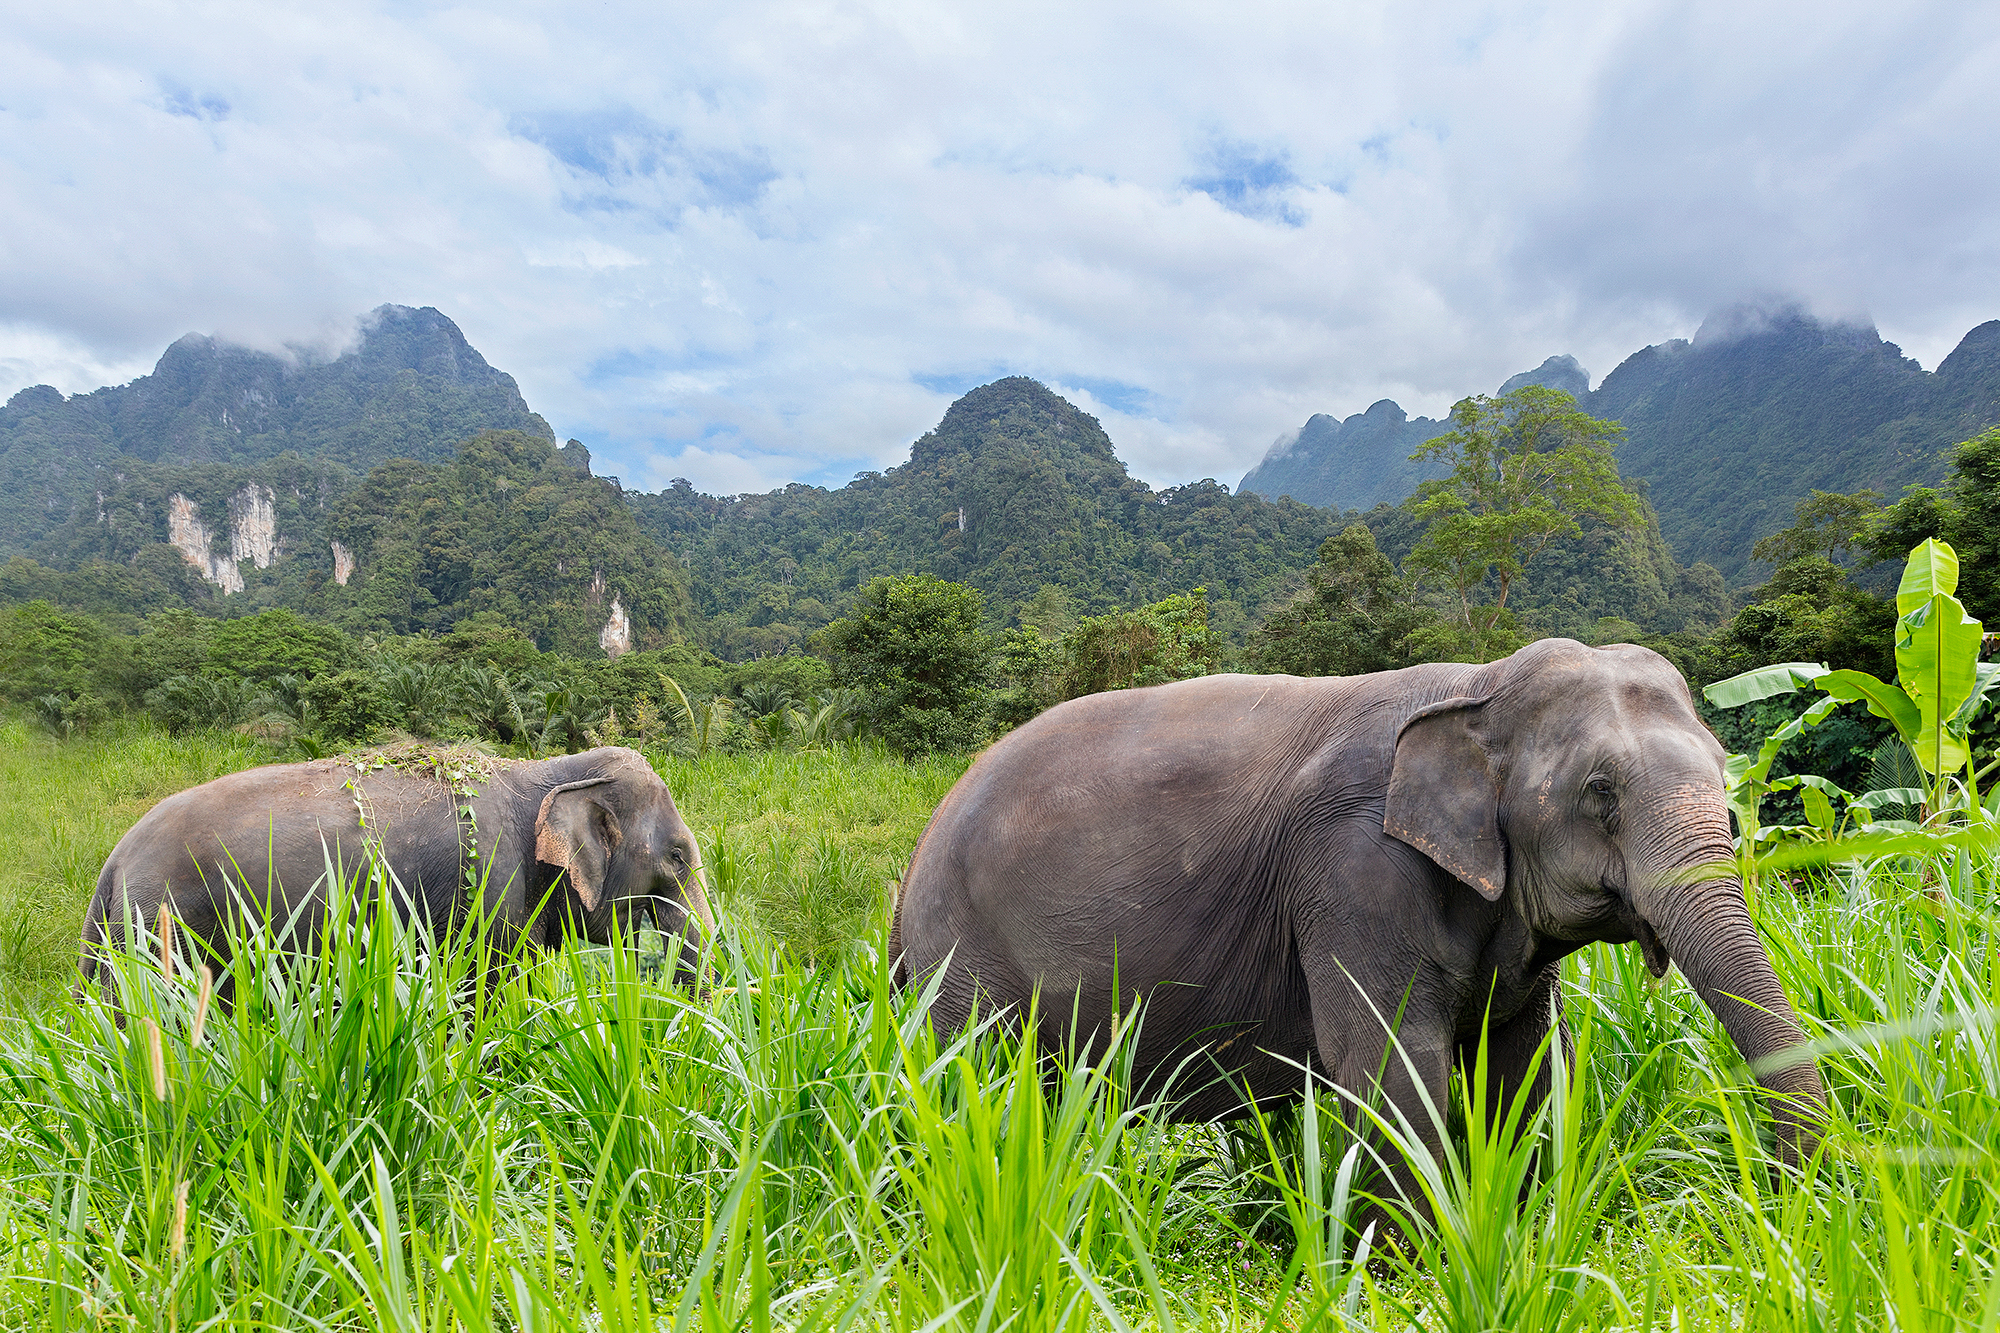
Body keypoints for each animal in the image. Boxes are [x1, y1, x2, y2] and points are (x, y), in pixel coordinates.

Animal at [892, 638, 1827, 1191]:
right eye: (1601, 792)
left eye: (1728, 769)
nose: (1780, 1193)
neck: (1478, 686)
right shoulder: (1352, 866)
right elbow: (1390, 1065)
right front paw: (1408, 1275)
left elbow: (1526, 1063)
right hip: (959, 954)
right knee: (973, 1080)